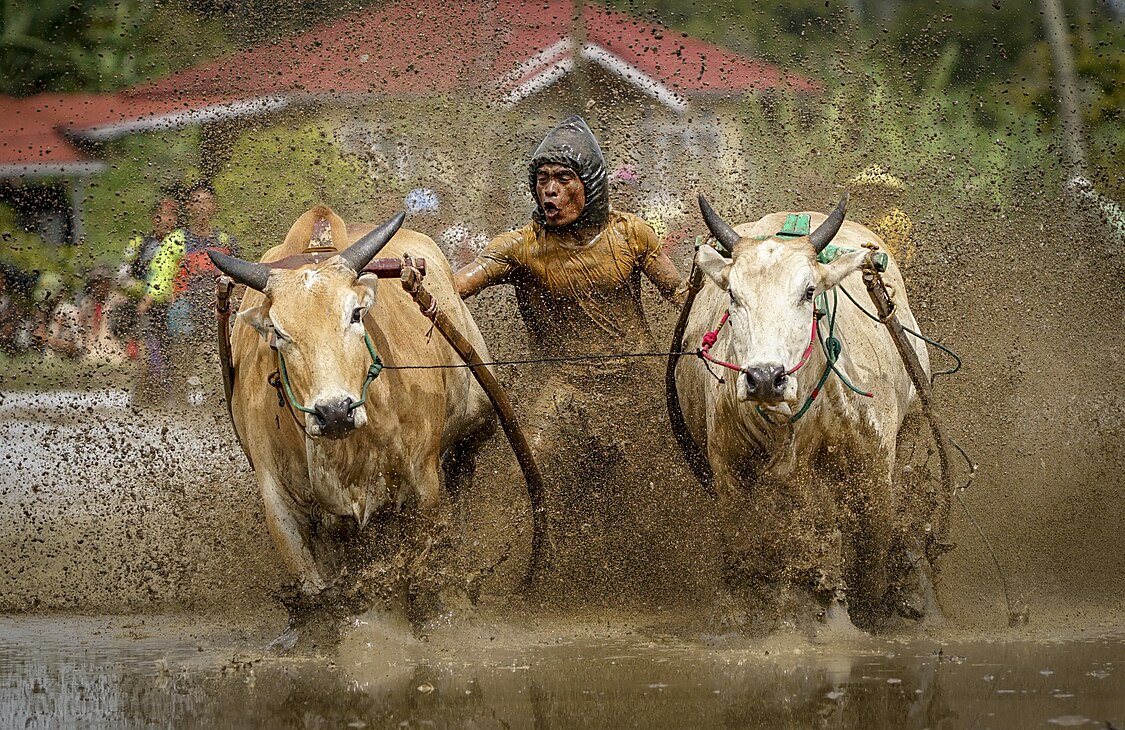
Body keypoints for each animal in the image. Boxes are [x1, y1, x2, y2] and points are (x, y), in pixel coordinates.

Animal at [211, 203, 492, 598]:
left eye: (356, 314)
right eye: (278, 332)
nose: (334, 413)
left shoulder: (424, 485)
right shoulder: (280, 505)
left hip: (478, 421)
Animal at [675, 194, 931, 629]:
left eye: (809, 291)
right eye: (733, 295)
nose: (765, 377)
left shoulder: (876, 475)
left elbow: (872, 566)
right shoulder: (728, 474)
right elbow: (744, 559)